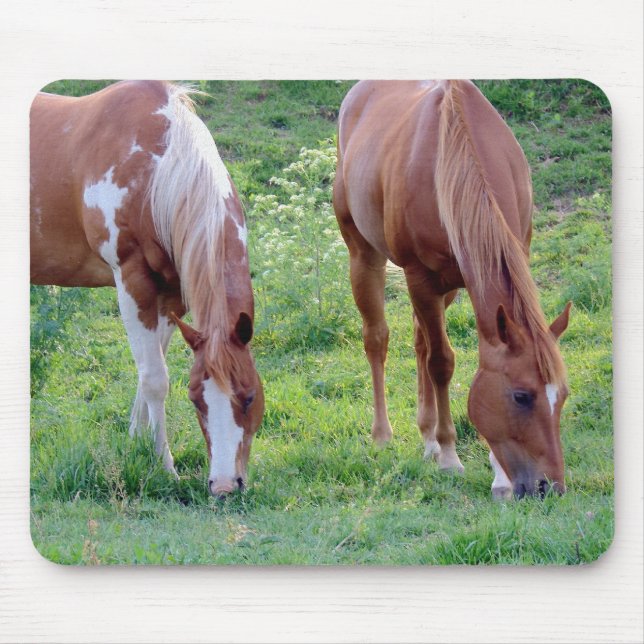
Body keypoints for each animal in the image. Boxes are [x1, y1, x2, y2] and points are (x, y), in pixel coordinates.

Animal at [30, 80, 264, 496]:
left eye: (250, 396)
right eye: (197, 401)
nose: (224, 485)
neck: (160, 169)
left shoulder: (171, 296)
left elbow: (150, 369)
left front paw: (136, 443)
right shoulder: (132, 282)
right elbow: (156, 379)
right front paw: (164, 466)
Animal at [333, 80, 571, 499]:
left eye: (563, 396)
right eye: (521, 396)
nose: (549, 487)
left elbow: (453, 356)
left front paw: (496, 473)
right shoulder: (421, 278)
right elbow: (442, 363)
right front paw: (448, 454)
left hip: (447, 290)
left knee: (419, 341)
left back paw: (426, 436)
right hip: (365, 257)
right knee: (377, 340)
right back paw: (384, 436)